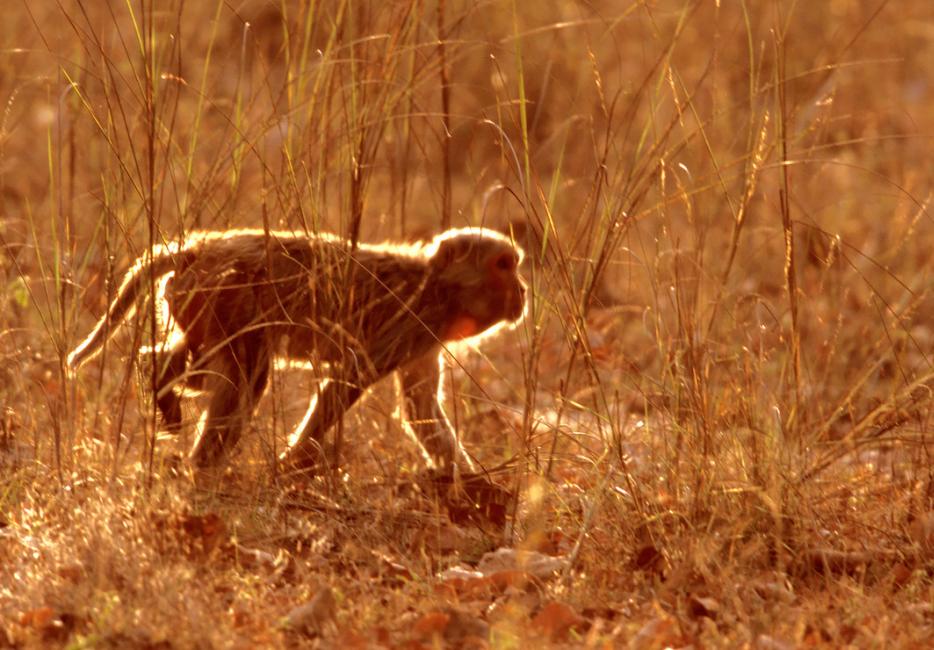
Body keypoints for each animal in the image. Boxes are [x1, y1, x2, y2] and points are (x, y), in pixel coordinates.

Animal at [67, 225, 528, 474]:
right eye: (504, 265)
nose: (523, 289)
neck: (437, 287)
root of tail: (194, 249)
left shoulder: (424, 340)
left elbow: (421, 410)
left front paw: (469, 482)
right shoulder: (413, 321)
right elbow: (345, 383)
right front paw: (291, 464)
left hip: (195, 303)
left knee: (197, 365)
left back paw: (159, 375)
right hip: (222, 295)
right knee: (247, 376)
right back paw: (202, 464)